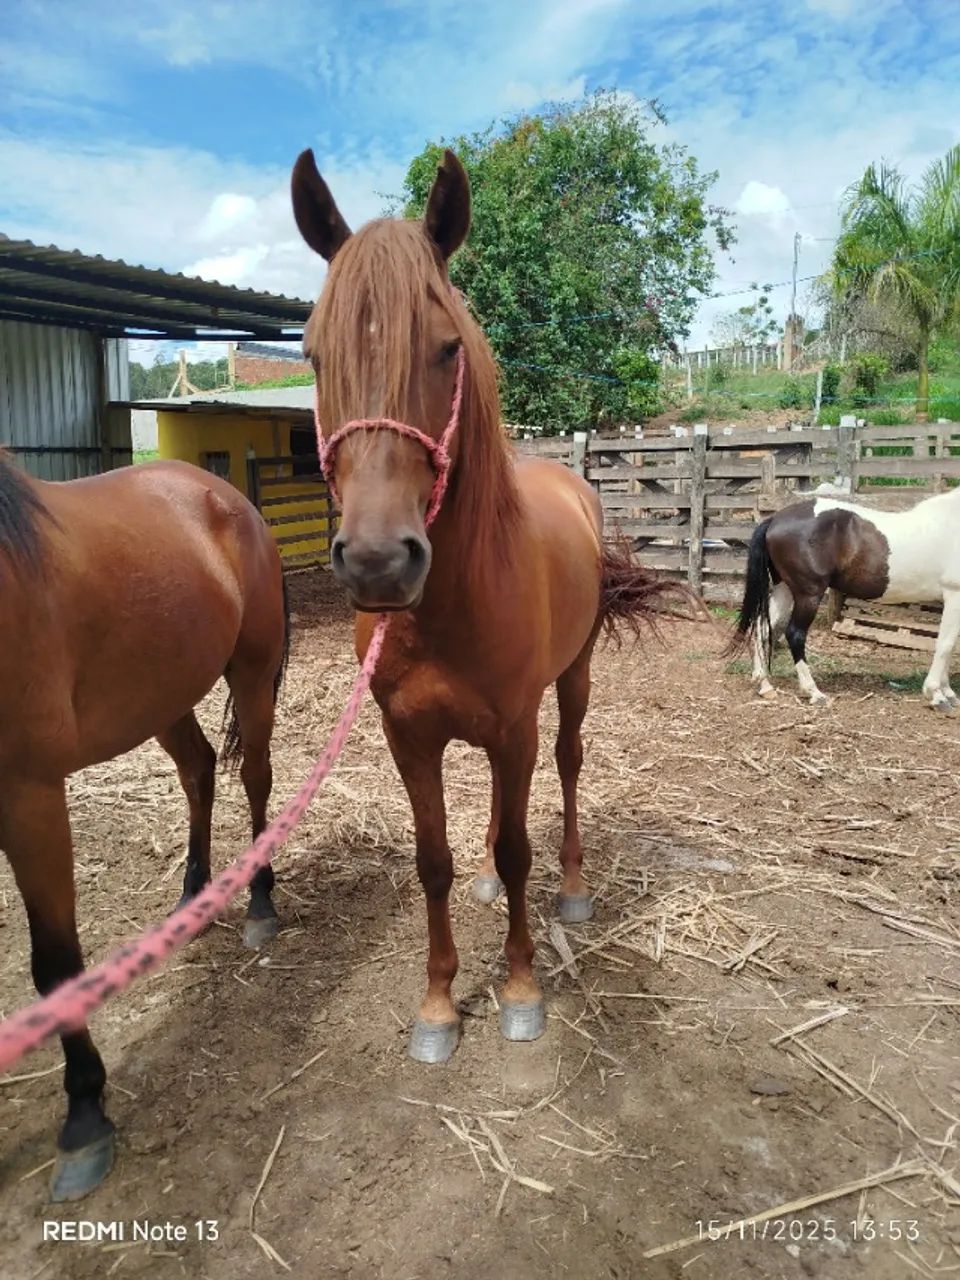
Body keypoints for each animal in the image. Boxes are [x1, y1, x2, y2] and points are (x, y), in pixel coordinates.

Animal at [0, 454, 289, 1199]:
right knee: (199, 769)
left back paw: (259, 901)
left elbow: (55, 963)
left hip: (248, 671)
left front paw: (84, 1116)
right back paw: (193, 897)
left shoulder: (29, 793)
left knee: (255, 778)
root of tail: (223, 494)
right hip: (162, 693)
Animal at [290, 145, 685, 1063]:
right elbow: (433, 858)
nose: (377, 561)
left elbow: (517, 850)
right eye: (315, 355)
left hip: (570, 685)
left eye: (445, 349)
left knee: (567, 767)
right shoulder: (409, 737)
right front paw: (438, 1004)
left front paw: (521, 988)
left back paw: (573, 886)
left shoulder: (514, 728)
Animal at [728, 487, 960, 709]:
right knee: (795, 633)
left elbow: (950, 645)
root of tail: (775, 519)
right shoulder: (953, 595)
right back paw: (814, 692)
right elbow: (945, 645)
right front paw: (937, 695)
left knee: (763, 627)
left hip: (784, 588)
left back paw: (764, 684)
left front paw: (949, 692)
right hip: (809, 594)